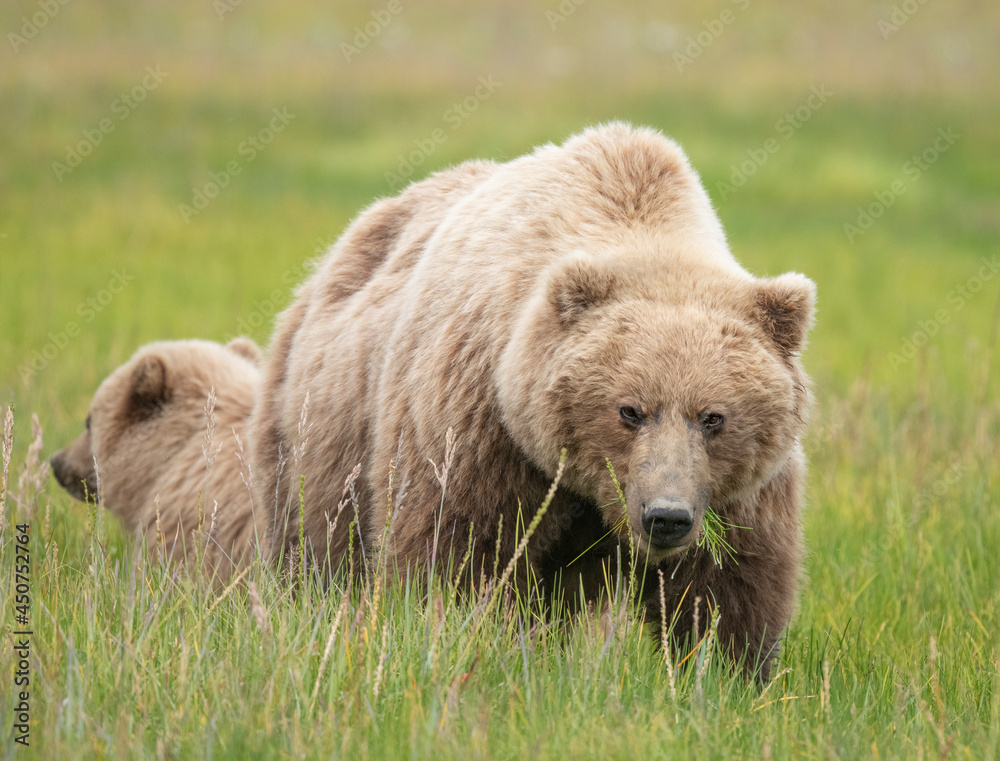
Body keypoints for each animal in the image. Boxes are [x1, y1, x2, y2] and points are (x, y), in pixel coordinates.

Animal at [254, 123, 816, 676]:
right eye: (629, 410)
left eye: (713, 417)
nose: (666, 516)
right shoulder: (482, 426)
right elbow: (463, 552)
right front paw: (470, 639)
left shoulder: (737, 488)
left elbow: (729, 584)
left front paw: (727, 669)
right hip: (321, 432)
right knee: (320, 547)